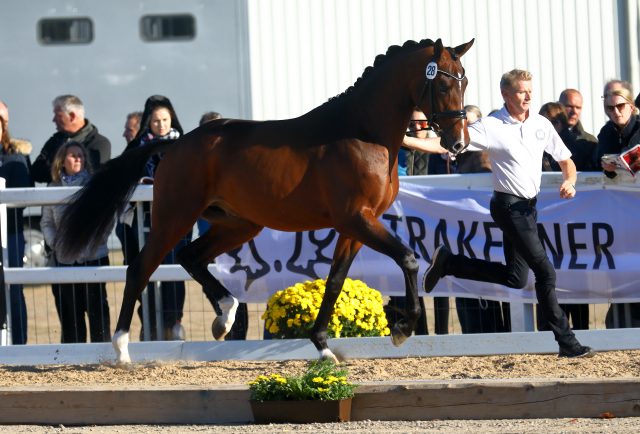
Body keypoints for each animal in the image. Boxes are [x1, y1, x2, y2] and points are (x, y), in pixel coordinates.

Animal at [56, 38, 476, 366]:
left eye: (465, 81)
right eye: (441, 84)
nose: (457, 144)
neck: (363, 132)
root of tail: (174, 143)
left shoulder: (353, 227)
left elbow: (335, 281)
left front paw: (323, 347)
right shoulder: (357, 219)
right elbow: (407, 258)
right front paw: (402, 328)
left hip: (238, 223)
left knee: (191, 256)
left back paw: (225, 316)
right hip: (174, 218)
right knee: (141, 268)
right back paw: (122, 349)